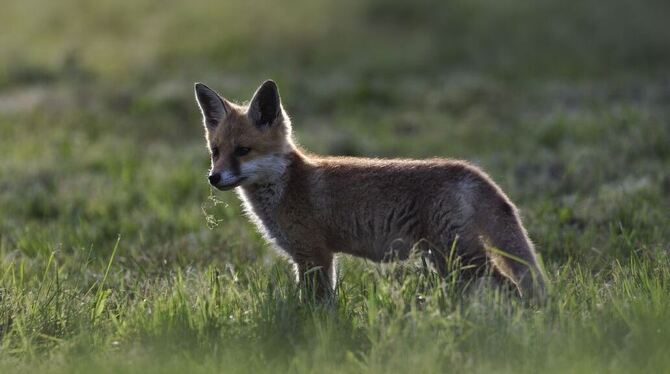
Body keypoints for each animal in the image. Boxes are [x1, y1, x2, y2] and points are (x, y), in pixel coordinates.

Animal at [196, 80, 552, 302]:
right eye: (216, 151)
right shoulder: (312, 257)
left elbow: (314, 306)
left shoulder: (315, 254)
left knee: (511, 286)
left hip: (460, 257)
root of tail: (471, 171)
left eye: (243, 151)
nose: (214, 178)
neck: (285, 186)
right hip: (445, 261)